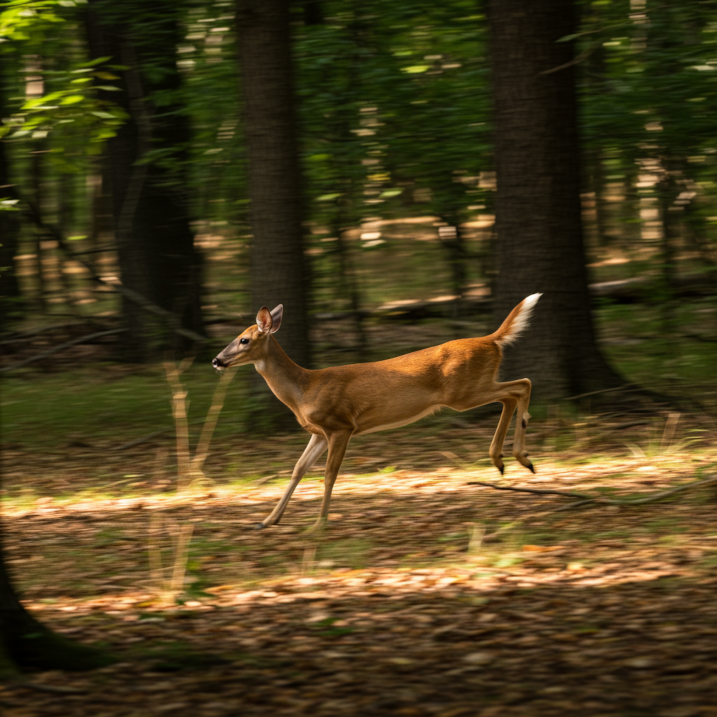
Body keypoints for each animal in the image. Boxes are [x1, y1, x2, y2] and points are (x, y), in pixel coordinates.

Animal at [215, 292, 540, 532]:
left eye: (244, 340)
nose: (217, 360)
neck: (304, 389)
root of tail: (491, 339)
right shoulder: (319, 432)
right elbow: (298, 469)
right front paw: (268, 520)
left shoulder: (341, 425)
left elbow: (329, 474)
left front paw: (319, 523)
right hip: (471, 388)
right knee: (514, 392)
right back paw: (504, 459)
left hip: (463, 392)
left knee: (521, 386)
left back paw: (520, 456)